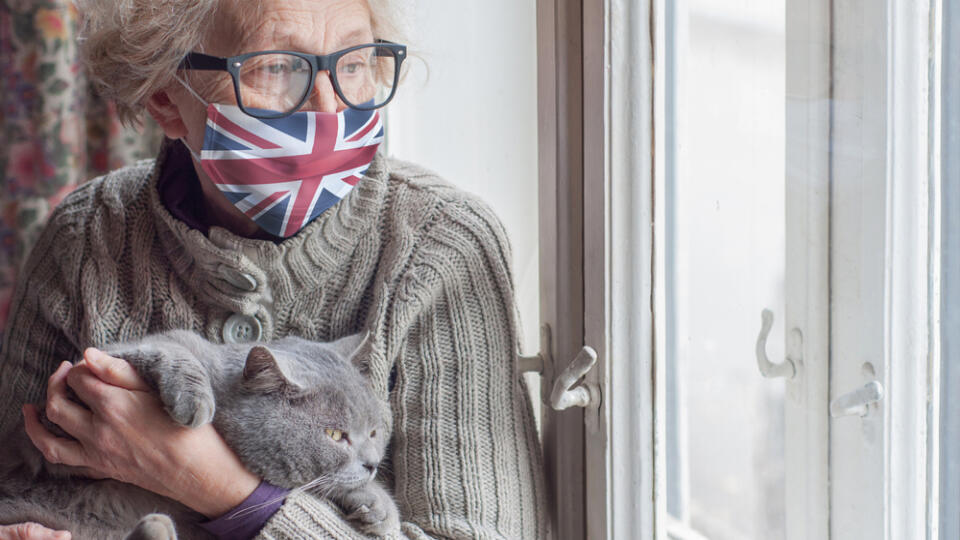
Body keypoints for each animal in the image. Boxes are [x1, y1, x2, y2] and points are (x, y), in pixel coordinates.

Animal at [0, 332, 398, 536]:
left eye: (373, 431)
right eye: (335, 435)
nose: (371, 464)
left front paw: (379, 508)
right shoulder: (60, 408)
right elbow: (173, 348)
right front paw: (194, 399)